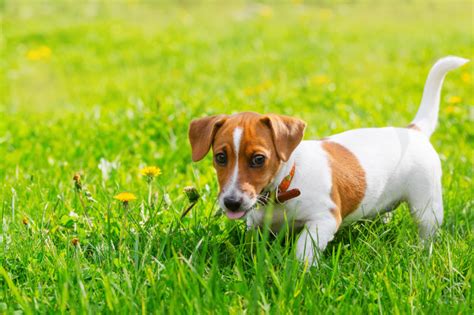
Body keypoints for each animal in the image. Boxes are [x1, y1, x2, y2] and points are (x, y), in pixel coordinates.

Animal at [188, 56, 466, 264]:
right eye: (220, 157)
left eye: (258, 159)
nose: (232, 203)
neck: (286, 184)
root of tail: (413, 131)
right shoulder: (257, 225)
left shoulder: (324, 219)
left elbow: (303, 248)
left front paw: (296, 272)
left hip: (426, 205)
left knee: (427, 230)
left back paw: (422, 252)